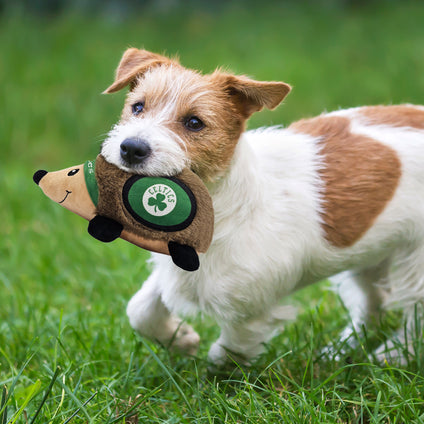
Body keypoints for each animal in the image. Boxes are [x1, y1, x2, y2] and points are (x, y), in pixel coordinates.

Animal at [101, 48, 424, 366]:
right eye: (138, 107)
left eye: (194, 123)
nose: (131, 148)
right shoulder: (175, 271)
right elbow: (140, 309)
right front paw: (180, 339)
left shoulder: (251, 310)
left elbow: (227, 353)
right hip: (369, 255)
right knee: (373, 303)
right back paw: (340, 352)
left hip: (414, 264)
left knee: (414, 315)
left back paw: (394, 355)